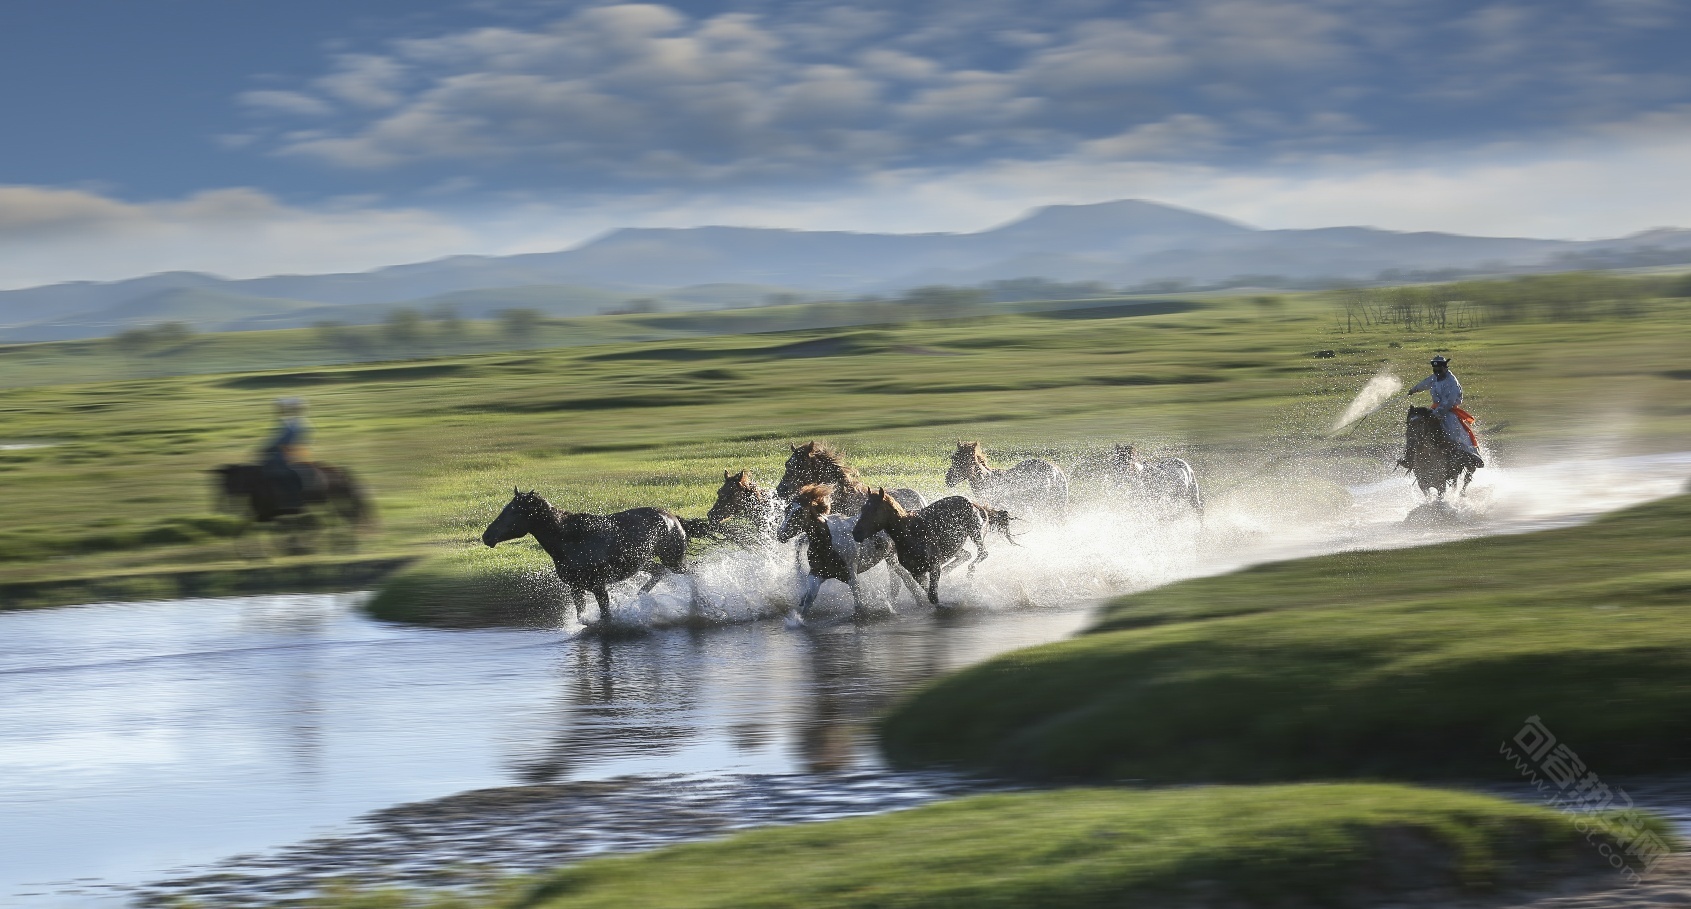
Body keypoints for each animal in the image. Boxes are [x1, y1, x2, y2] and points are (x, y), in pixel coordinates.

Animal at [487, 486, 696, 621]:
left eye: (513, 512)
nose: (486, 536)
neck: (570, 540)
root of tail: (674, 518)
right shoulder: (576, 588)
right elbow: (582, 618)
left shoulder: (598, 587)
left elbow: (605, 618)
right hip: (644, 563)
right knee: (659, 572)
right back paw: (640, 598)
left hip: (674, 561)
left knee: (692, 575)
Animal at [777, 479, 926, 621]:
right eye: (787, 509)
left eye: (799, 512)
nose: (780, 534)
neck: (827, 540)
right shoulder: (816, 574)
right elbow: (808, 601)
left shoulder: (851, 574)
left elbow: (859, 605)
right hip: (890, 558)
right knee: (904, 578)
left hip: (892, 557)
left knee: (905, 579)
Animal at [852, 483, 1007, 604]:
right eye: (862, 508)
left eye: (874, 509)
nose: (855, 533)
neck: (909, 533)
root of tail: (973, 503)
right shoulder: (917, 572)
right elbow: (929, 595)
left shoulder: (933, 566)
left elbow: (933, 597)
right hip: (955, 546)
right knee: (966, 555)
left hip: (975, 532)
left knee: (982, 553)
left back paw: (970, 572)